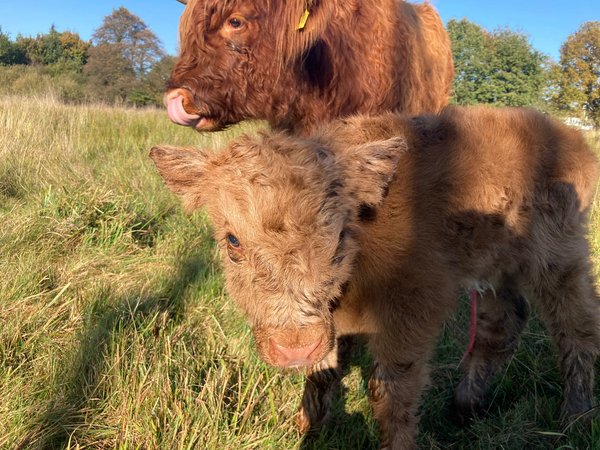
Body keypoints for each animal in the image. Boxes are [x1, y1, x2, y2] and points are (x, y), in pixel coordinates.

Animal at [150, 107, 600, 448]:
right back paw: (466, 407)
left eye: (337, 237)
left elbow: (390, 389)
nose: (293, 347)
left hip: (560, 257)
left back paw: (575, 418)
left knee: (577, 327)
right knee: (503, 323)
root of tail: (568, 134)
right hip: (493, 263)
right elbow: (323, 372)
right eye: (233, 241)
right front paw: (306, 429)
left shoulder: (413, 306)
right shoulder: (334, 326)